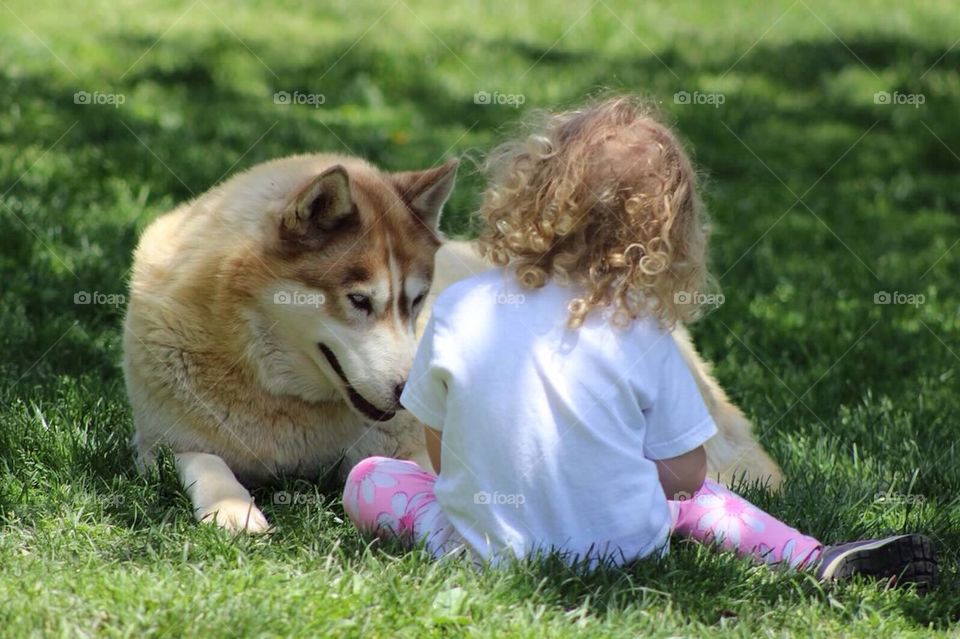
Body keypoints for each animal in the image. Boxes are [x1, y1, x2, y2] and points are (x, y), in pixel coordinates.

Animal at [120, 152, 780, 532]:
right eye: (359, 301)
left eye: (415, 302)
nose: (406, 390)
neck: (279, 397)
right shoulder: (161, 445)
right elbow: (205, 462)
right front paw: (233, 509)